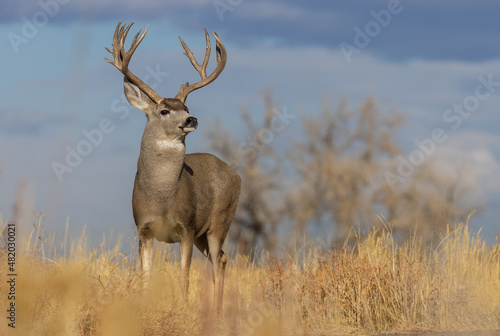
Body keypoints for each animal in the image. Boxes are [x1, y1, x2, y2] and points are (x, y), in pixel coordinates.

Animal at [104, 21, 240, 312]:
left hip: (219, 222)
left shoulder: (186, 228)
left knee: (218, 260)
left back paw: (218, 311)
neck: (162, 198)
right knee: (221, 259)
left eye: (186, 107)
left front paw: (185, 310)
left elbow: (183, 277)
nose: (192, 119)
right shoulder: (143, 229)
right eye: (164, 111)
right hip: (204, 234)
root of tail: (236, 174)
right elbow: (145, 277)